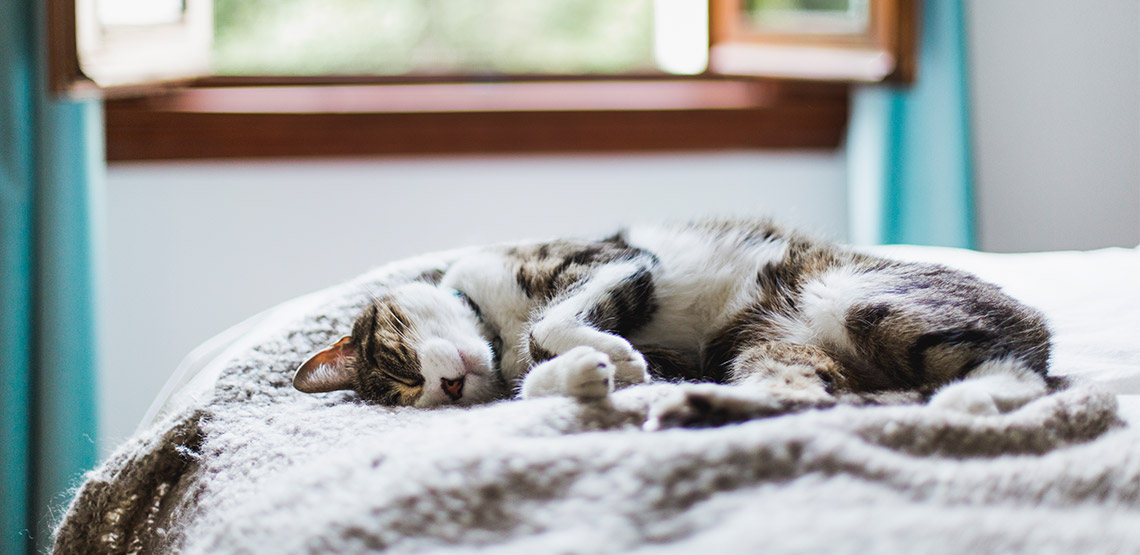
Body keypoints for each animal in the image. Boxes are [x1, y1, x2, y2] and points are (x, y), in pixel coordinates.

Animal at [294, 219, 1048, 423]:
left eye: (399, 361)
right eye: (412, 393)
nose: (447, 386)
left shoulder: (617, 261)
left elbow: (548, 326)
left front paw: (601, 356)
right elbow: (531, 380)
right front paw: (595, 372)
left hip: (858, 298)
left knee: (1024, 374)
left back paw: (971, 398)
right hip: (760, 349)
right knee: (811, 402)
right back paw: (690, 409)